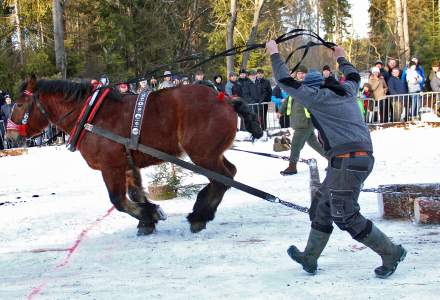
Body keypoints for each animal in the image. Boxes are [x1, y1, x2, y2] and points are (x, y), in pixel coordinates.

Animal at [6, 75, 262, 234]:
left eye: (19, 104)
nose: (9, 133)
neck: (90, 116)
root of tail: (224, 98)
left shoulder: (111, 167)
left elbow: (118, 200)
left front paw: (151, 214)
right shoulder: (128, 164)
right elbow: (136, 193)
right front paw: (147, 219)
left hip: (203, 154)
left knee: (223, 178)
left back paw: (199, 215)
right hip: (210, 153)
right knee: (228, 174)